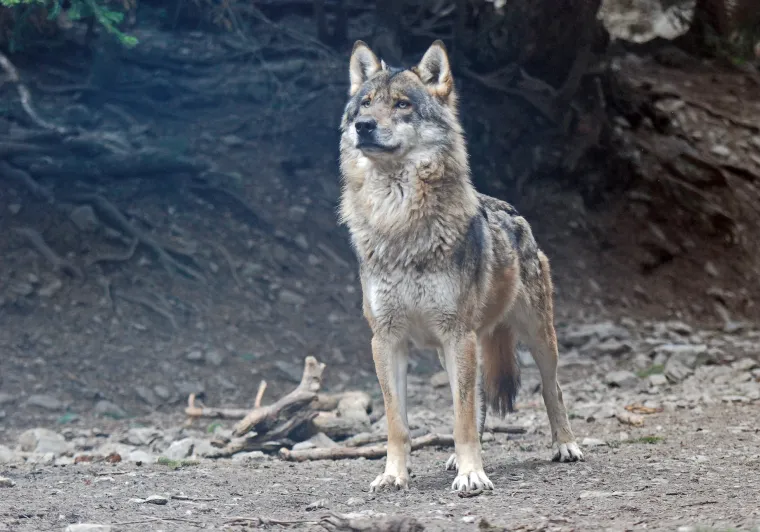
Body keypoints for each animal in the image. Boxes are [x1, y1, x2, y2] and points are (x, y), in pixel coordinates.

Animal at [338, 39, 584, 493]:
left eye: (401, 104)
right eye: (365, 103)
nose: (363, 125)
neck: (398, 222)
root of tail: (512, 210)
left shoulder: (457, 334)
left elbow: (463, 415)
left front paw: (473, 474)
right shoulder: (386, 340)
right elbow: (398, 422)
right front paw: (393, 475)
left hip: (537, 337)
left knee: (551, 389)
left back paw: (566, 446)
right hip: (455, 348)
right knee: (480, 397)